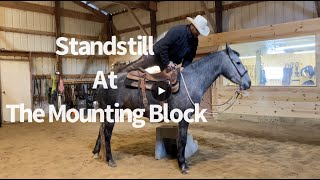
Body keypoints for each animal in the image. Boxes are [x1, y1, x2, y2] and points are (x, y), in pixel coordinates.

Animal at [91, 44, 251, 174]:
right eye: (237, 62)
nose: (248, 83)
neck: (190, 81)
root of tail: (103, 81)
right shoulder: (184, 118)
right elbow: (183, 140)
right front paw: (183, 166)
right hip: (112, 112)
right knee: (107, 134)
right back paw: (110, 160)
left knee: (101, 130)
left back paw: (96, 153)